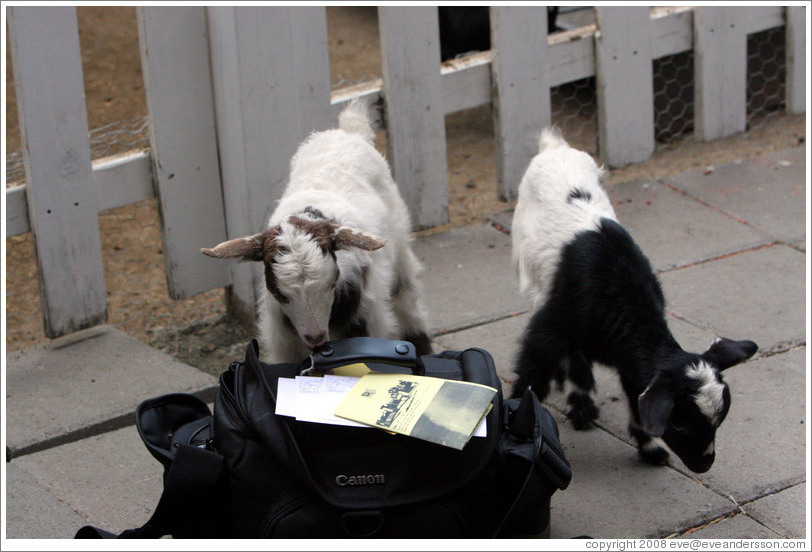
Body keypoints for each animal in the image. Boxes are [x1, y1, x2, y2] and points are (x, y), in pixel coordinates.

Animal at [202, 99, 432, 363]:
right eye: (280, 294)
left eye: (331, 284)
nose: (315, 337)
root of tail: (348, 131)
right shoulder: (283, 339)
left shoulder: (365, 318)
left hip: (399, 236)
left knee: (406, 291)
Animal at [509, 127, 757, 473]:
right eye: (679, 423)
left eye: (718, 421)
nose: (704, 465)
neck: (620, 297)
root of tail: (554, 147)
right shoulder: (550, 327)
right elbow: (532, 374)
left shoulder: (632, 359)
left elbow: (635, 392)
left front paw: (650, 448)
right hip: (532, 273)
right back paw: (579, 401)